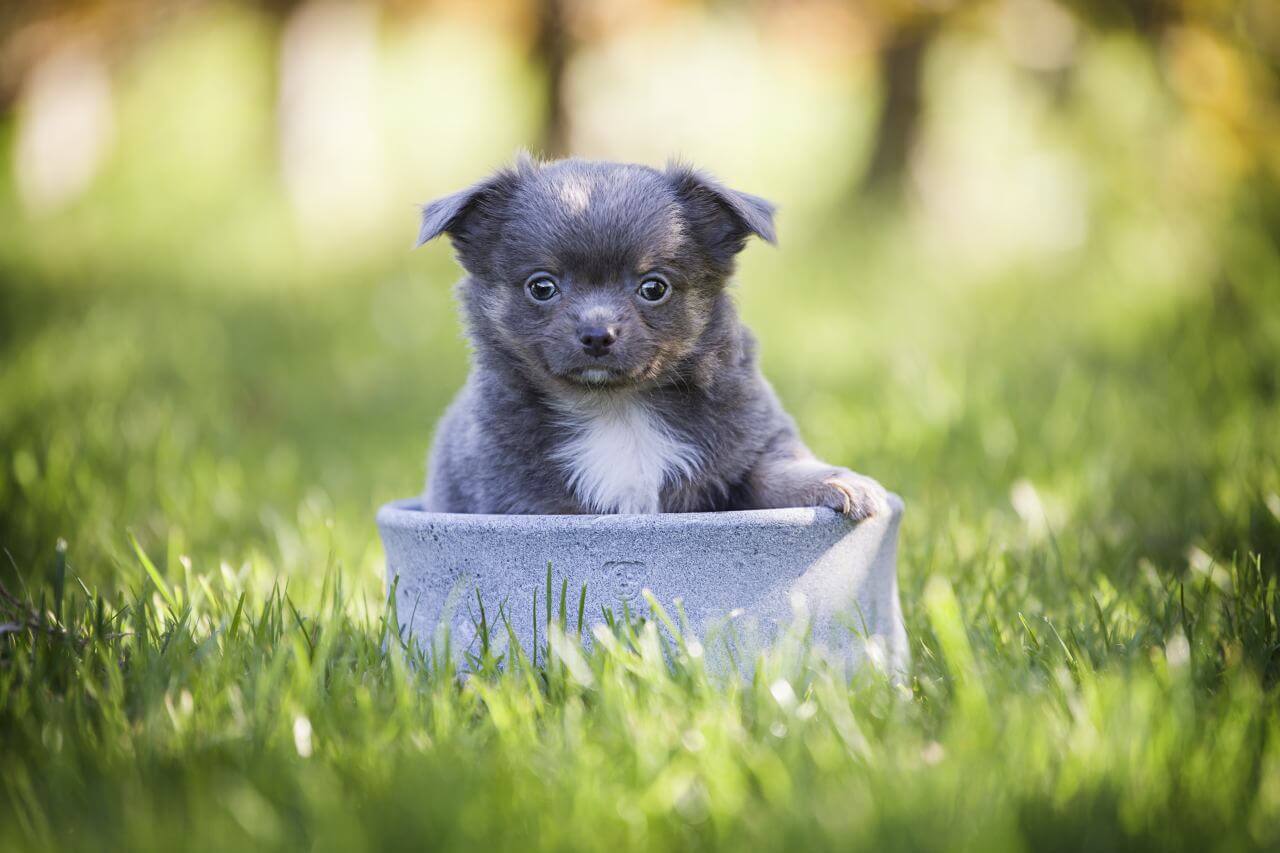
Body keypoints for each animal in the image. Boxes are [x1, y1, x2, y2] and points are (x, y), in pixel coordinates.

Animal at [414, 154, 885, 517]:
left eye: (654, 287)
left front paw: (841, 484)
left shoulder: (751, 442)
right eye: (541, 287)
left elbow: (773, 472)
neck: (618, 409)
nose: (597, 334)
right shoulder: (520, 497)